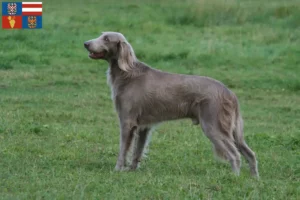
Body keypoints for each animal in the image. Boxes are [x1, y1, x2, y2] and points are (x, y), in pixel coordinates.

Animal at [84, 31, 258, 177]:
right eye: (100, 35)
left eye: (106, 39)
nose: (86, 43)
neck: (128, 74)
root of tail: (230, 93)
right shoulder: (143, 126)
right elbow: (137, 151)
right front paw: (132, 170)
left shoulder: (127, 121)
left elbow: (123, 150)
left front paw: (118, 169)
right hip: (233, 130)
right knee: (250, 154)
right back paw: (254, 178)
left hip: (213, 126)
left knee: (234, 154)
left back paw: (234, 177)